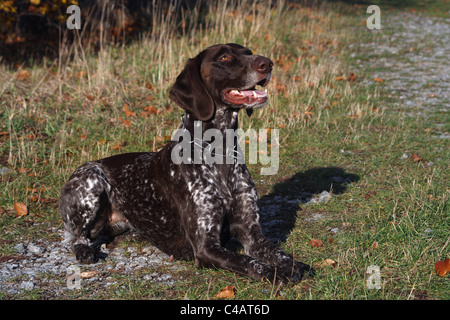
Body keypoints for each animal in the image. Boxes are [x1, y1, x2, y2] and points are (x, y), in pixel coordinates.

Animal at [59, 43, 312, 282]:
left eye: (248, 52)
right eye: (224, 57)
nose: (267, 63)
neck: (219, 152)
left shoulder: (251, 233)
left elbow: (277, 253)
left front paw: (293, 265)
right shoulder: (206, 247)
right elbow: (248, 262)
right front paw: (275, 273)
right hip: (91, 179)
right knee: (77, 236)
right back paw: (84, 250)